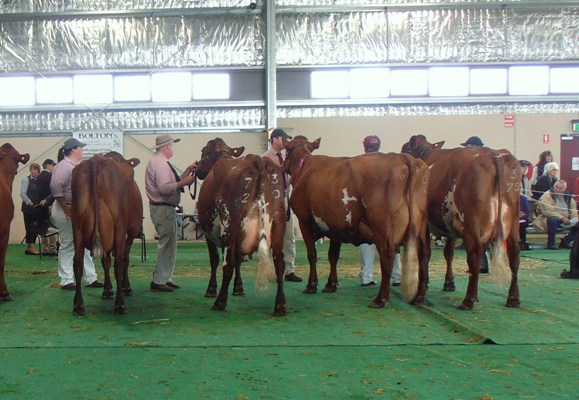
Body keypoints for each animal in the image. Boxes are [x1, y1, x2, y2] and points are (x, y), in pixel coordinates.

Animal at [71, 152, 143, 314]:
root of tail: (96, 161)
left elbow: (106, 262)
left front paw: (107, 290)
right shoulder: (131, 232)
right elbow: (124, 259)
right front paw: (125, 287)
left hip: (76, 225)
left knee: (78, 262)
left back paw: (78, 305)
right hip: (120, 226)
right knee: (119, 262)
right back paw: (120, 305)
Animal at [197, 138, 290, 316]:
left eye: (204, 153)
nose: (197, 170)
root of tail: (257, 160)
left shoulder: (208, 233)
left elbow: (215, 260)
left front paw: (211, 289)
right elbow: (239, 260)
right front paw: (238, 288)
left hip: (230, 224)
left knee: (228, 262)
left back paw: (220, 302)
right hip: (279, 224)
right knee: (279, 262)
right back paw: (280, 305)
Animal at [284, 136, 428, 308]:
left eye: (286, 152)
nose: (283, 166)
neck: (304, 167)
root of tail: (405, 158)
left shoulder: (304, 221)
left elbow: (312, 254)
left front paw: (311, 285)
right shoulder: (335, 227)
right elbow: (333, 255)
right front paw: (331, 284)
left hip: (383, 228)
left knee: (388, 256)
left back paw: (380, 299)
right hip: (421, 227)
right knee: (423, 255)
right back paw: (420, 297)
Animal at [404, 134, 520, 310]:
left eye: (404, 149)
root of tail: (494, 154)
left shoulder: (425, 224)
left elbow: (424, 253)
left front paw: (420, 293)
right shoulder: (450, 223)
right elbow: (448, 253)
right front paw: (449, 283)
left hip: (471, 220)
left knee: (474, 253)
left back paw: (468, 300)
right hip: (513, 222)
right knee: (514, 254)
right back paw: (512, 298)